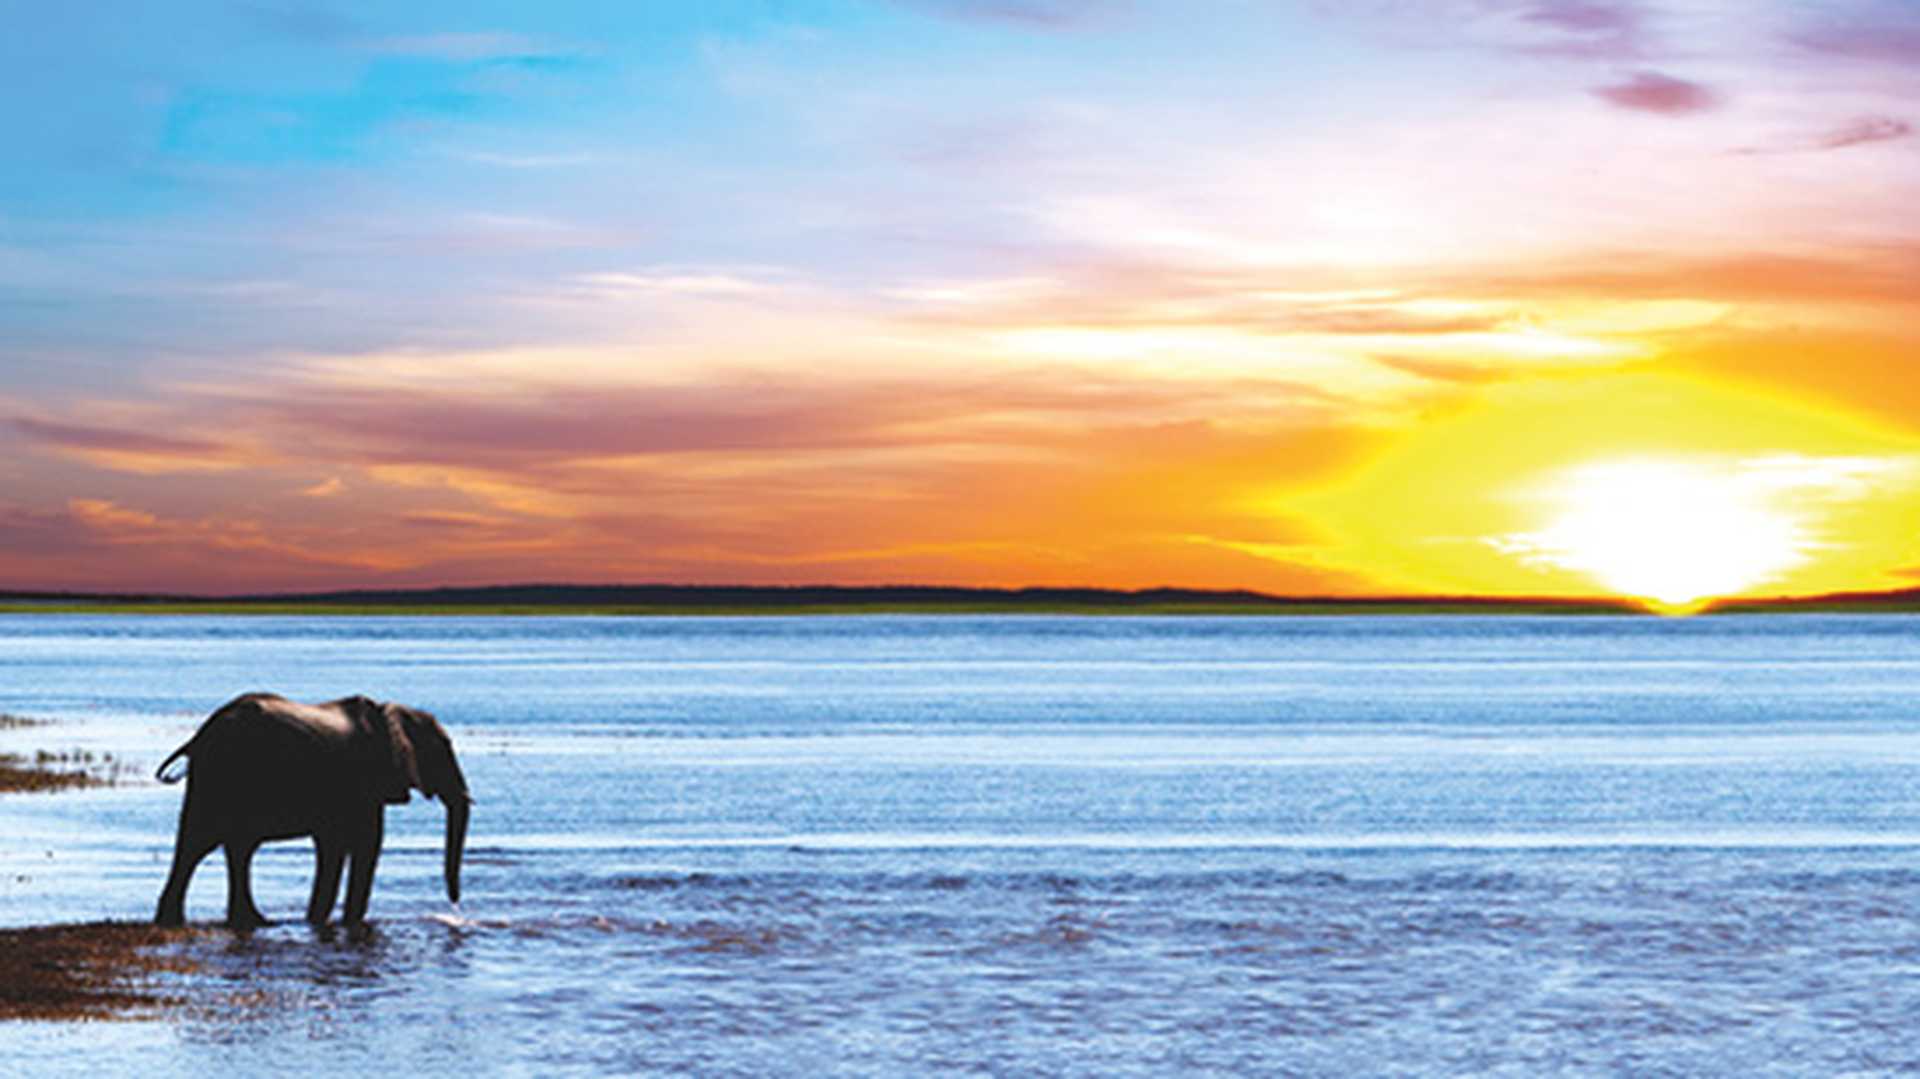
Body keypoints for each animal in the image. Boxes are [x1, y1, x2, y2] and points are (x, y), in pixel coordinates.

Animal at [153, 692, 471, 929]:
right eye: (443, 749)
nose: (455, 904)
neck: (389, 712)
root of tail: (198, 737)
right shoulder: (367, 779)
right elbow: (363, 844)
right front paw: (337, 922)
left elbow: (337, 844)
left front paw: (318, 920)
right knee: (210, 843)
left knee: (216, 846)